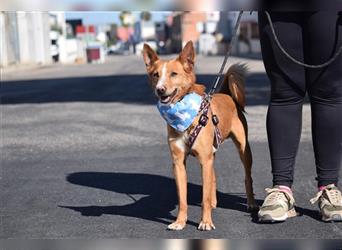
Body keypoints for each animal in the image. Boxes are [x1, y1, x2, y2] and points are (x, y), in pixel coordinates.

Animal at [142, 40, 256, 230]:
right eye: (155, 75)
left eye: (174, 74)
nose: (160, 90)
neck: (184, 114)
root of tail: (227, 94)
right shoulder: (178, 163)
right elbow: (183, 198)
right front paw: (180, 222)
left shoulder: (204, 159)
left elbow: (204, 197)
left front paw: (206, 222)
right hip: (212, 153)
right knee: (214, 175)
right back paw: (214, 203)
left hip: (243, 149)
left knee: (247, 176)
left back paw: (252, 202)